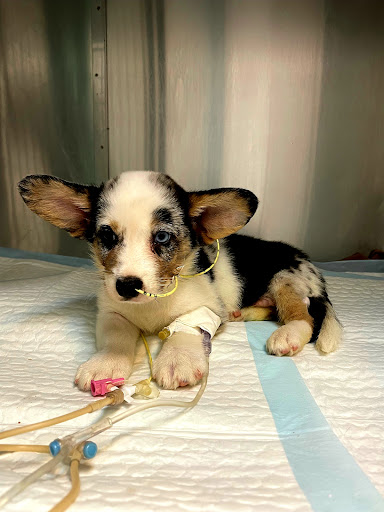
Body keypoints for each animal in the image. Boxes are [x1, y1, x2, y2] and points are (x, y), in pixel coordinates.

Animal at [18, 174, 342, 390]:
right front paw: (106, 363)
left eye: (162, 237)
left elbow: (185, 328)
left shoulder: (205, 306)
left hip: (285, 279)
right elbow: (116, 335)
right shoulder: (111, 311)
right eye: (107, 235)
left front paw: (178, 360)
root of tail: (308, 262)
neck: (153, 303)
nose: (127, 286)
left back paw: (287, 336)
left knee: (305, 317)